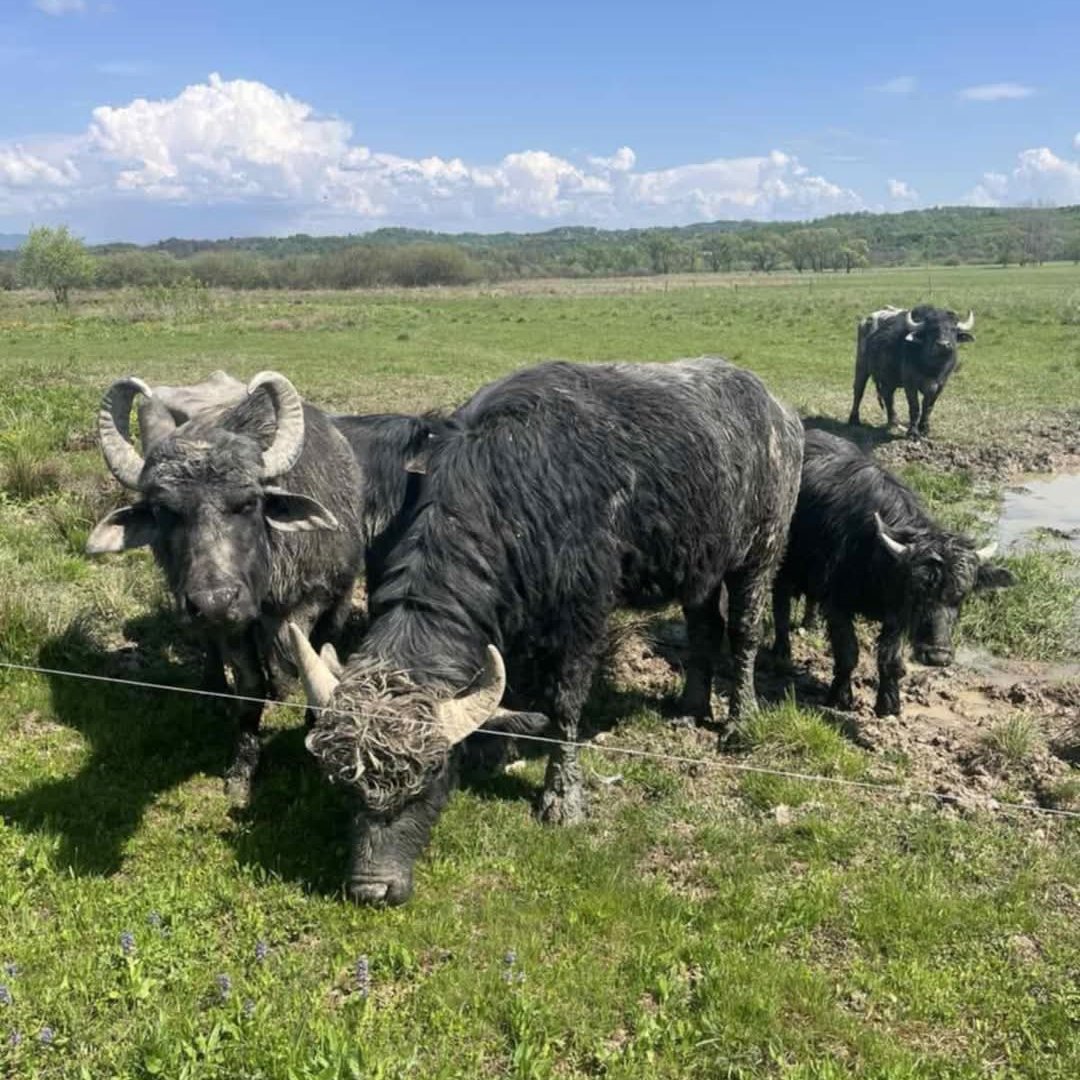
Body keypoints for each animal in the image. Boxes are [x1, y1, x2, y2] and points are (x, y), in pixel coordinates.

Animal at [86, 370, 368, 803]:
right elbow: (249, 687)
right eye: (165, 512)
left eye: (249, 503)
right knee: (211, 647)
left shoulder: (324, 599)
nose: (214, 602)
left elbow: (314, 664)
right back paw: (212, 688)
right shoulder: (236, 623)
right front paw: (243, 768)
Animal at [288, 357, 804, 905]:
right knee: (705, 628)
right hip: (699, 567)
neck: (510, 487)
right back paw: (690, 707)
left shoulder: (582, 617)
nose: (372, 889)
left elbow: (565, 706)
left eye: (428, 779)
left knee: (744, 632)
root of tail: (779, 410)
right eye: (344, 783)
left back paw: (739, 721)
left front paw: (562, 798)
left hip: (760, 552)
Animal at [772, 429, 1014, 718]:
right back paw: (781, 652)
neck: (873, 555)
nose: (938, 656)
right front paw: (840, 696)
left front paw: (889, 703)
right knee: (780, 605)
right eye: (918, 593)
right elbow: (848, 653)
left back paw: (809, 623)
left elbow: (890, 659)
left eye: (960, 596)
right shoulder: (838, 604)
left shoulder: (896, 617)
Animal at [848, 304, 975, 438]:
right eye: (932, 330)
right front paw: (913, 432)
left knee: (888, 395)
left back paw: (893, 421)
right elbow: (915, 407)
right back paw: (854, 420)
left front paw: (924, 429)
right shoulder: (910, 384)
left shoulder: (940, 385)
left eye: (953, 329)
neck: (932, 368)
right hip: (861, 366)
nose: (943, 344)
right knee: (859, 391)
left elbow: (928, 408)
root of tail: (866, 320)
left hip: (888, 377)